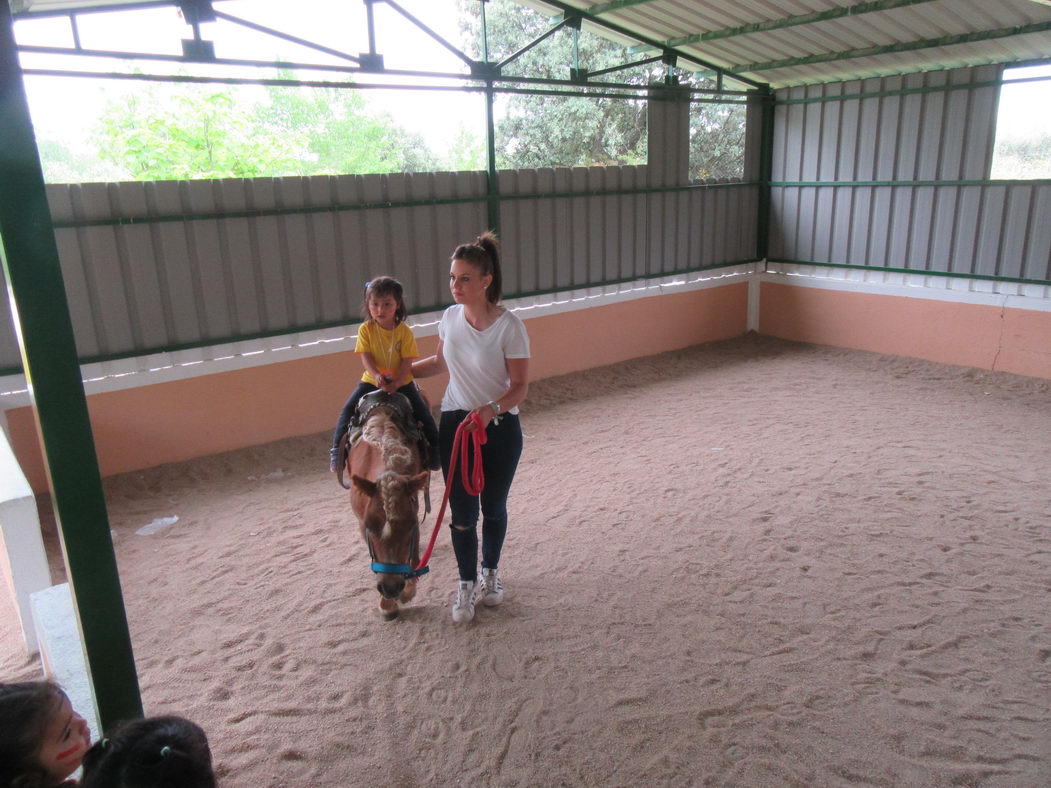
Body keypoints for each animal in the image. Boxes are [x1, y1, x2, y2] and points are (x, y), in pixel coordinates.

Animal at [348, 401, 430, 621]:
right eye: (369, 526)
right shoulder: (361, 523)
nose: (390, 588)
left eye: (410, 525)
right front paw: (387, 604)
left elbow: (413, 553)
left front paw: (408, 591)